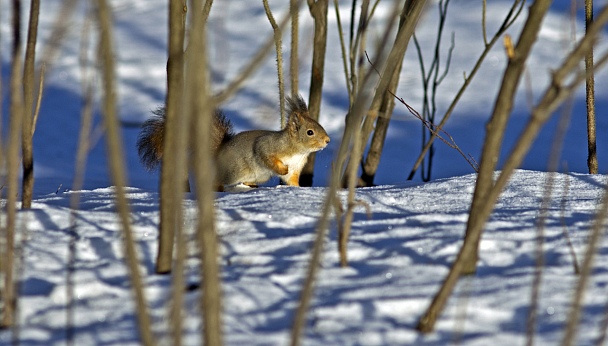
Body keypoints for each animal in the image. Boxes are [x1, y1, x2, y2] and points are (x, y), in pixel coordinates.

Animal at [136, 94, 330, 191]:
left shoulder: (297, 167)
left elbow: (291, 179)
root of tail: (219, 151)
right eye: (310, 132)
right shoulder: (267, 146)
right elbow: (267, 157)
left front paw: (298, 189)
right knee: (217, 179)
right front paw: (281, 168)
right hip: (235, 171)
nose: (327, 141)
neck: (298, 151)